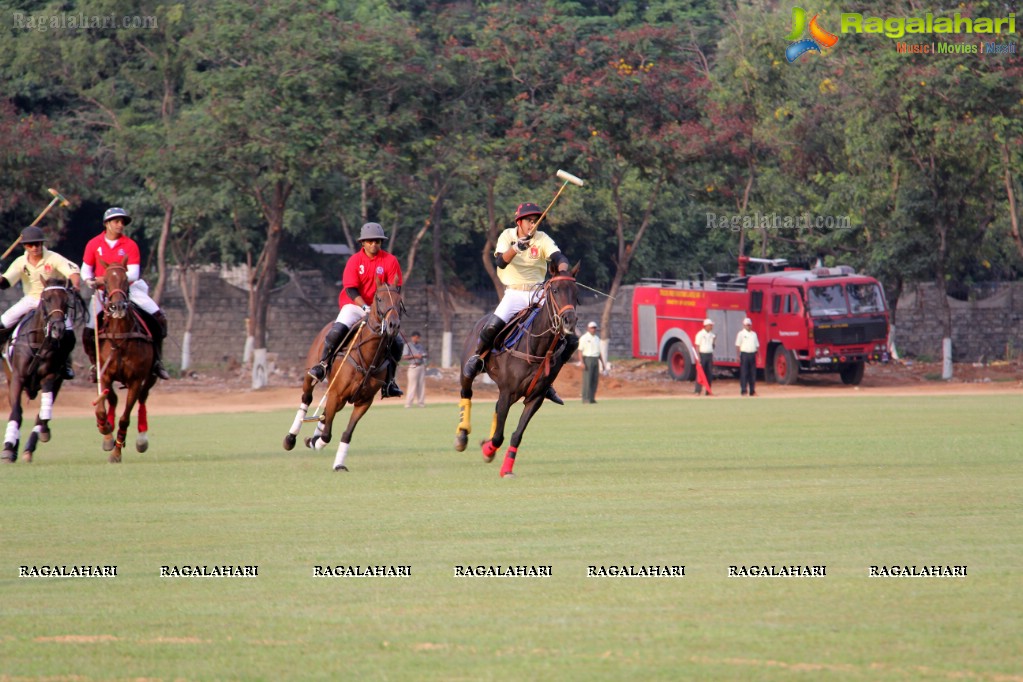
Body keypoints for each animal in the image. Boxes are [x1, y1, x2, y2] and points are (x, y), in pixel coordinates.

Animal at [0, 278, 76, 464]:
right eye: (46, 299)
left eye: (66, 301)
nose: (58, 329)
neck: (38, 342)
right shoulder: (17, 378)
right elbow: (16, 412)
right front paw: (8, 448)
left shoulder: (50, 377)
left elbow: (43, 413)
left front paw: (43, 432)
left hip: (58, 382)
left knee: (41, 413)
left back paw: (30, 446)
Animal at [94, 255, 159, 464]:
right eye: (106, 281)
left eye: (125, 279)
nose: (118, 307)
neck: (120, 336)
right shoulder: (105, 375)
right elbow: (102, 408)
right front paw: (105, 428)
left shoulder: (136, 380)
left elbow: (125, 418)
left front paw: (116, 453)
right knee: (113, 399)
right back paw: (108, 434)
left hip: (151, 376)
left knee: (143, 398)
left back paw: (141, 439)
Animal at [286, 276, 405, 470]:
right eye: (379, 299)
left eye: (399, 301)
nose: (393, 325)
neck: (368, 357)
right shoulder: (336, 394)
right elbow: (327, 434)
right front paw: (318, 442)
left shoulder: (364, 401)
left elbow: (346, 433)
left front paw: (338, 464)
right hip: (312, 375)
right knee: (307, 398)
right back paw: (290, 438)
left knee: (325, 413)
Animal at [454, 263, 581, 478]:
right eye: (555, 290)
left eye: (575, 291)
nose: (569, 321)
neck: (537, 347)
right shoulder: (508, 391)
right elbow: (499, 436)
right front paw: (487, 449)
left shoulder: (535, 397)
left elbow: (516, 435)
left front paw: (505, 467)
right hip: (468, 370)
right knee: (466, 392)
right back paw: (462, 436)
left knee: (496, 409)